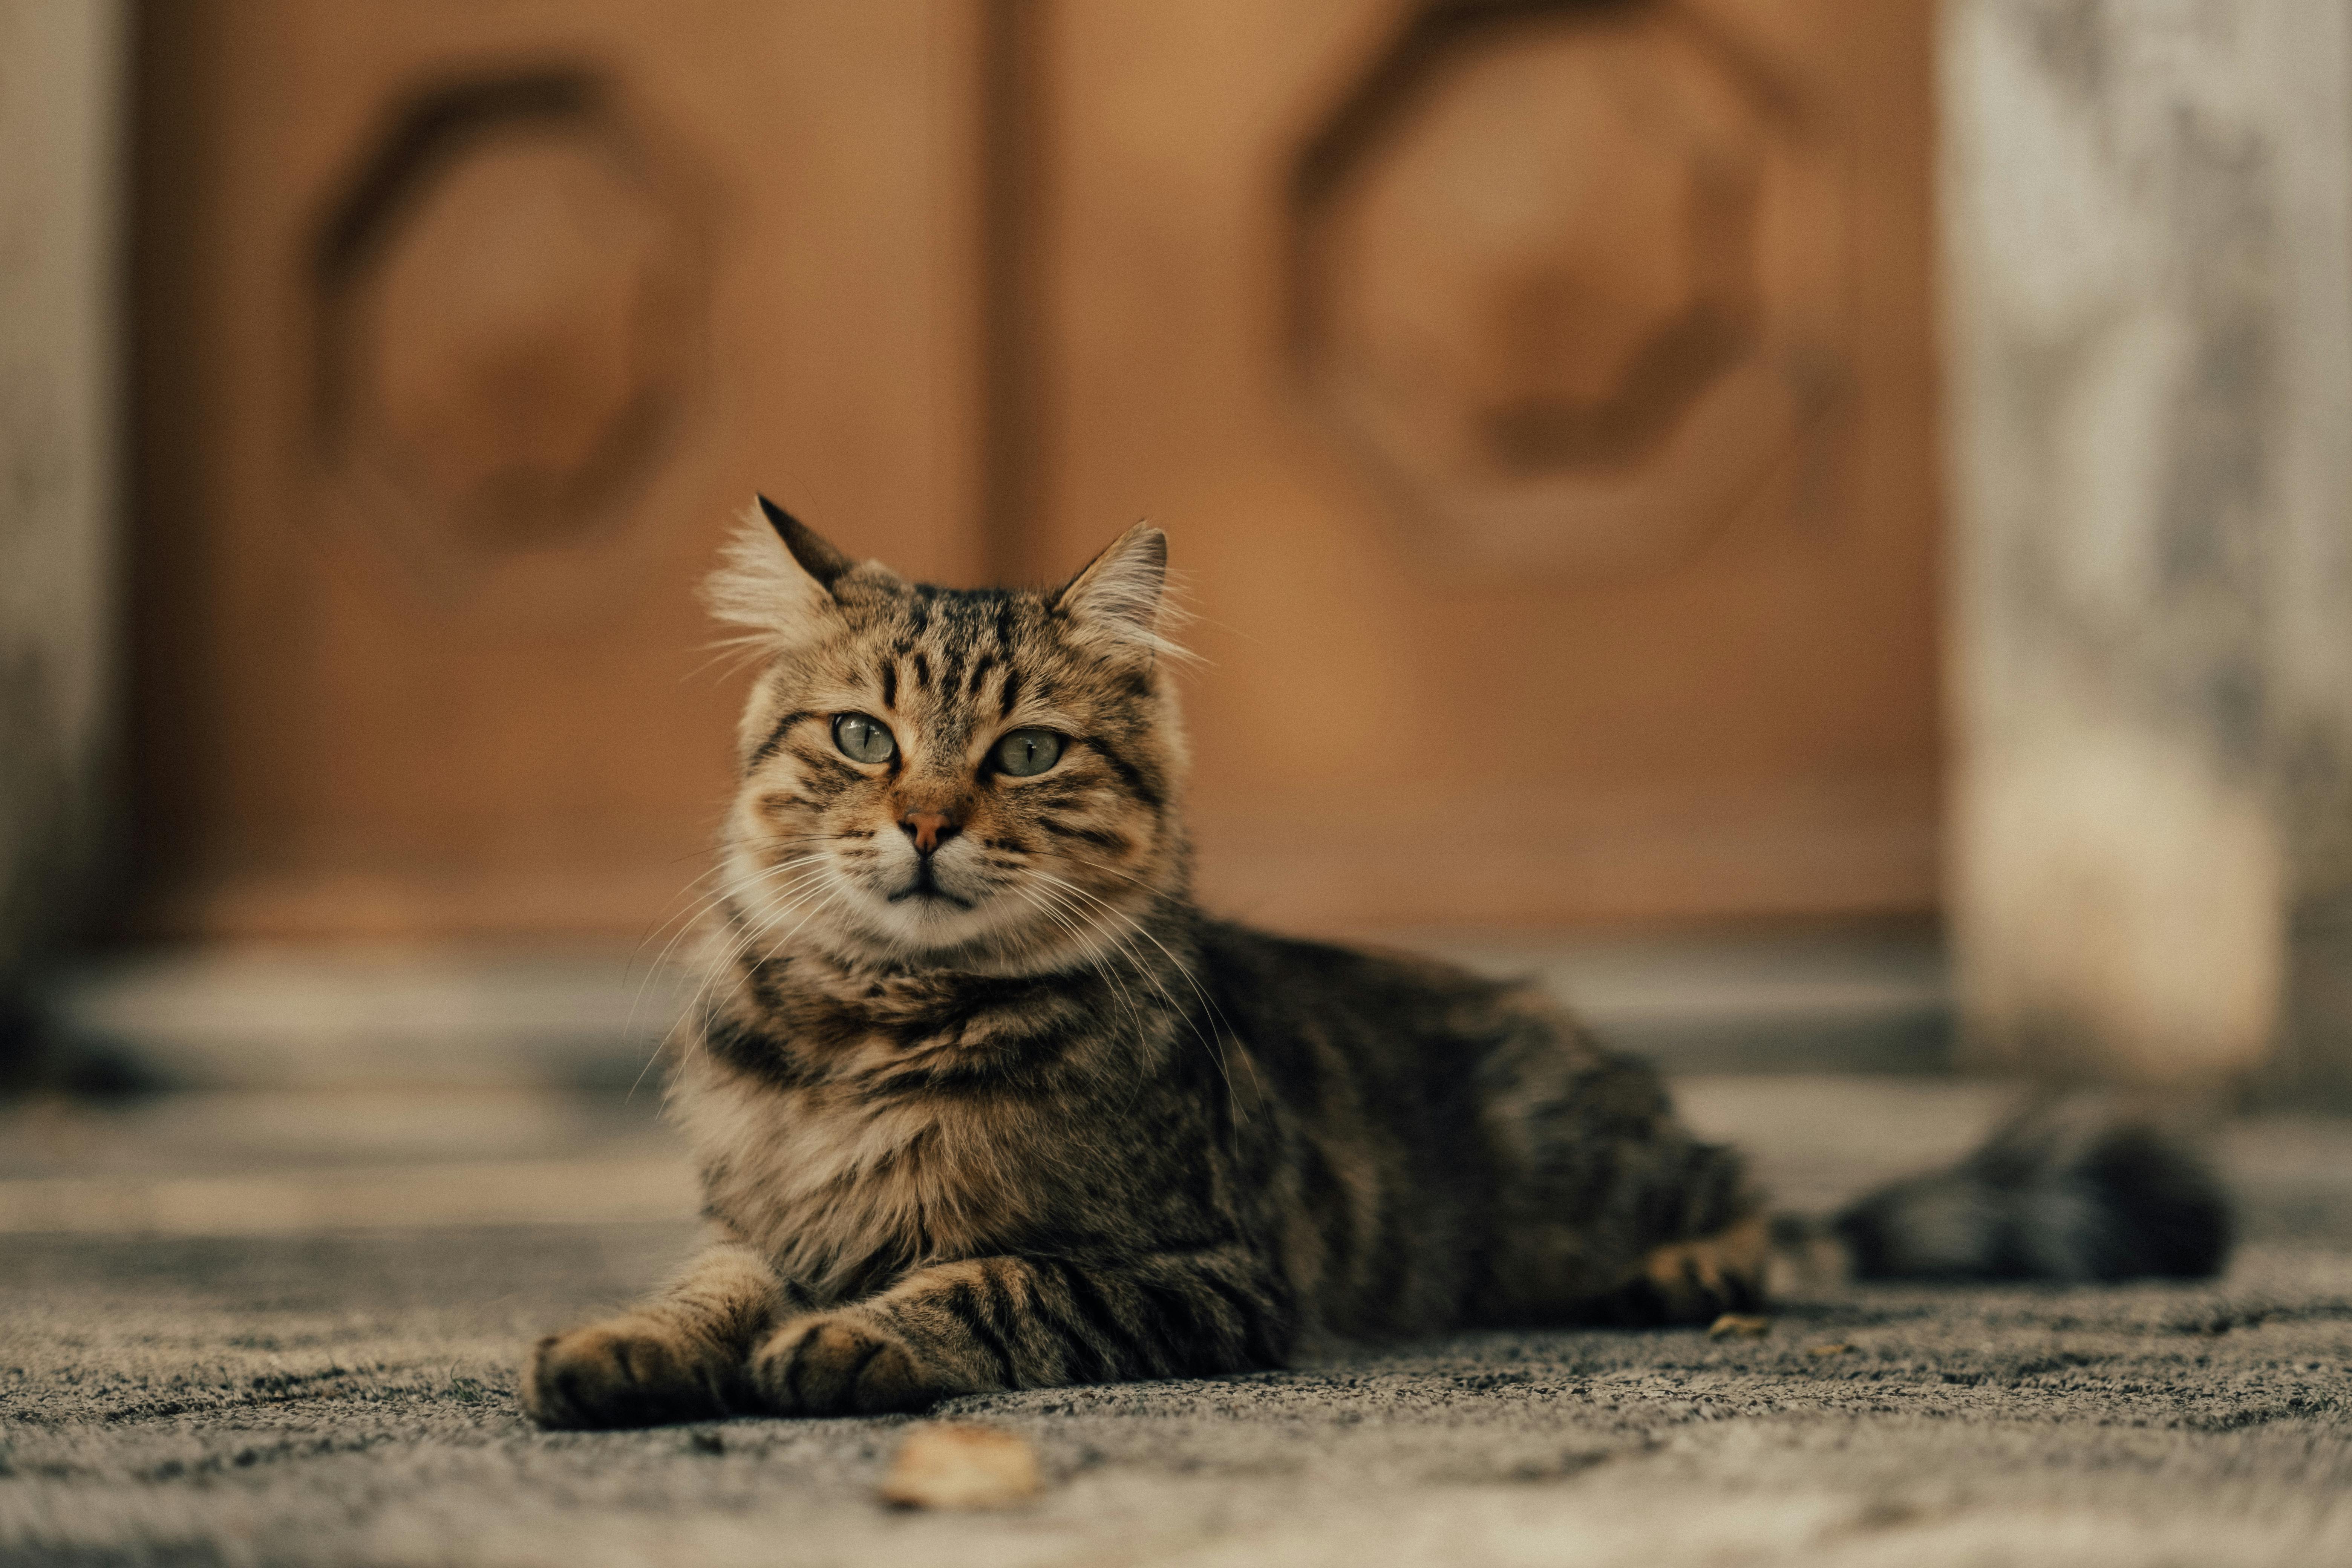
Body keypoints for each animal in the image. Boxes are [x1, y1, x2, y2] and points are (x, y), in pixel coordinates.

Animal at [524, 505, 2230, 1438]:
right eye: (864, 737)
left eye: (1024, 753)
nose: (929, 821)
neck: (879, 1025)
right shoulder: (755, 1218)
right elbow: (702, 1288)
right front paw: (619, 1349)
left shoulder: (1202, 1271)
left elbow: (988, 1280)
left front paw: (852, 1336)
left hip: (1584, 1160)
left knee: (1756, 1199)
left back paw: (1689, 1270)